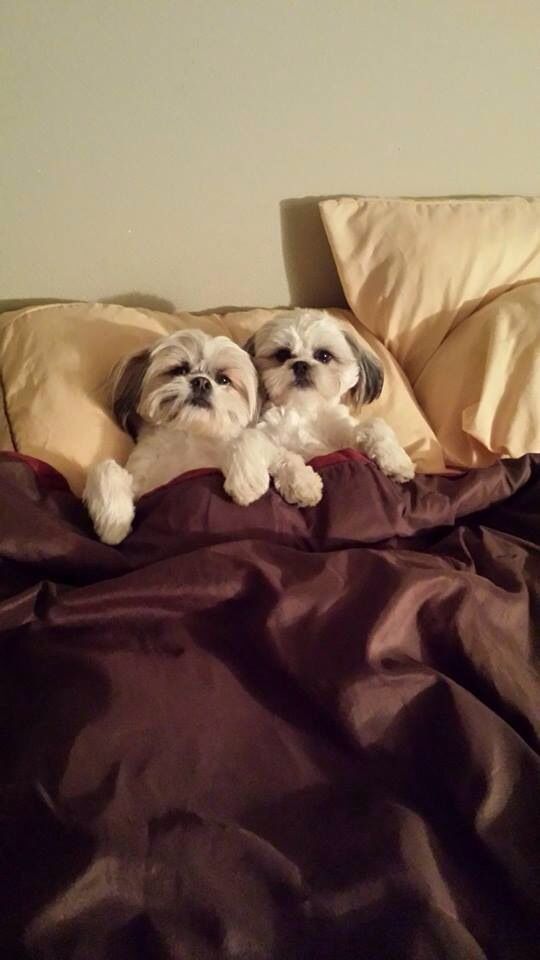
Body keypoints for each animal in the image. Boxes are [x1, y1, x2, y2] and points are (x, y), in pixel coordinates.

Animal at [85, 328, 260, 544]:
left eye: (223, 379)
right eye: (179, 370)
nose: (201, 381)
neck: (188, 434)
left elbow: (249, 436)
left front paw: (246, 483)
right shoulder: (143, 487)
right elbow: (105, 467)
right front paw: (113, 522)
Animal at [223, 310, 414, 510]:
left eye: (324, 356)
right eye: (282, 354)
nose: (300, 364)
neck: (303, 410)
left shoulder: (343, 442)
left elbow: (374, 425)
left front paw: (396, 461)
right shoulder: (270, 435)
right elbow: (266, 447)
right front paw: (301, 483)